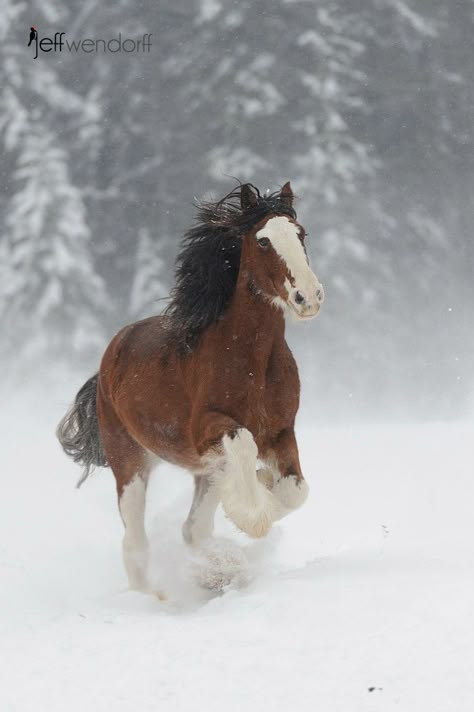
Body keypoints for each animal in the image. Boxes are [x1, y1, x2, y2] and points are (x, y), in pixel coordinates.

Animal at [57, 181, 324, 592]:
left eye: (301, 234)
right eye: (263, 240)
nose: (307, 297)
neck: (253, 361)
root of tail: (111, 353)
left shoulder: (281, 432)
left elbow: (295, 492)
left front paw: (262, 486)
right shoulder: (208, 430)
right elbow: (244, 444)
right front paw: (252, 516)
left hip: (204, 471)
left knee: (192, 529)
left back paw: (216, 570)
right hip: (129, 461)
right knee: (135, 543)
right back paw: (155, 595)